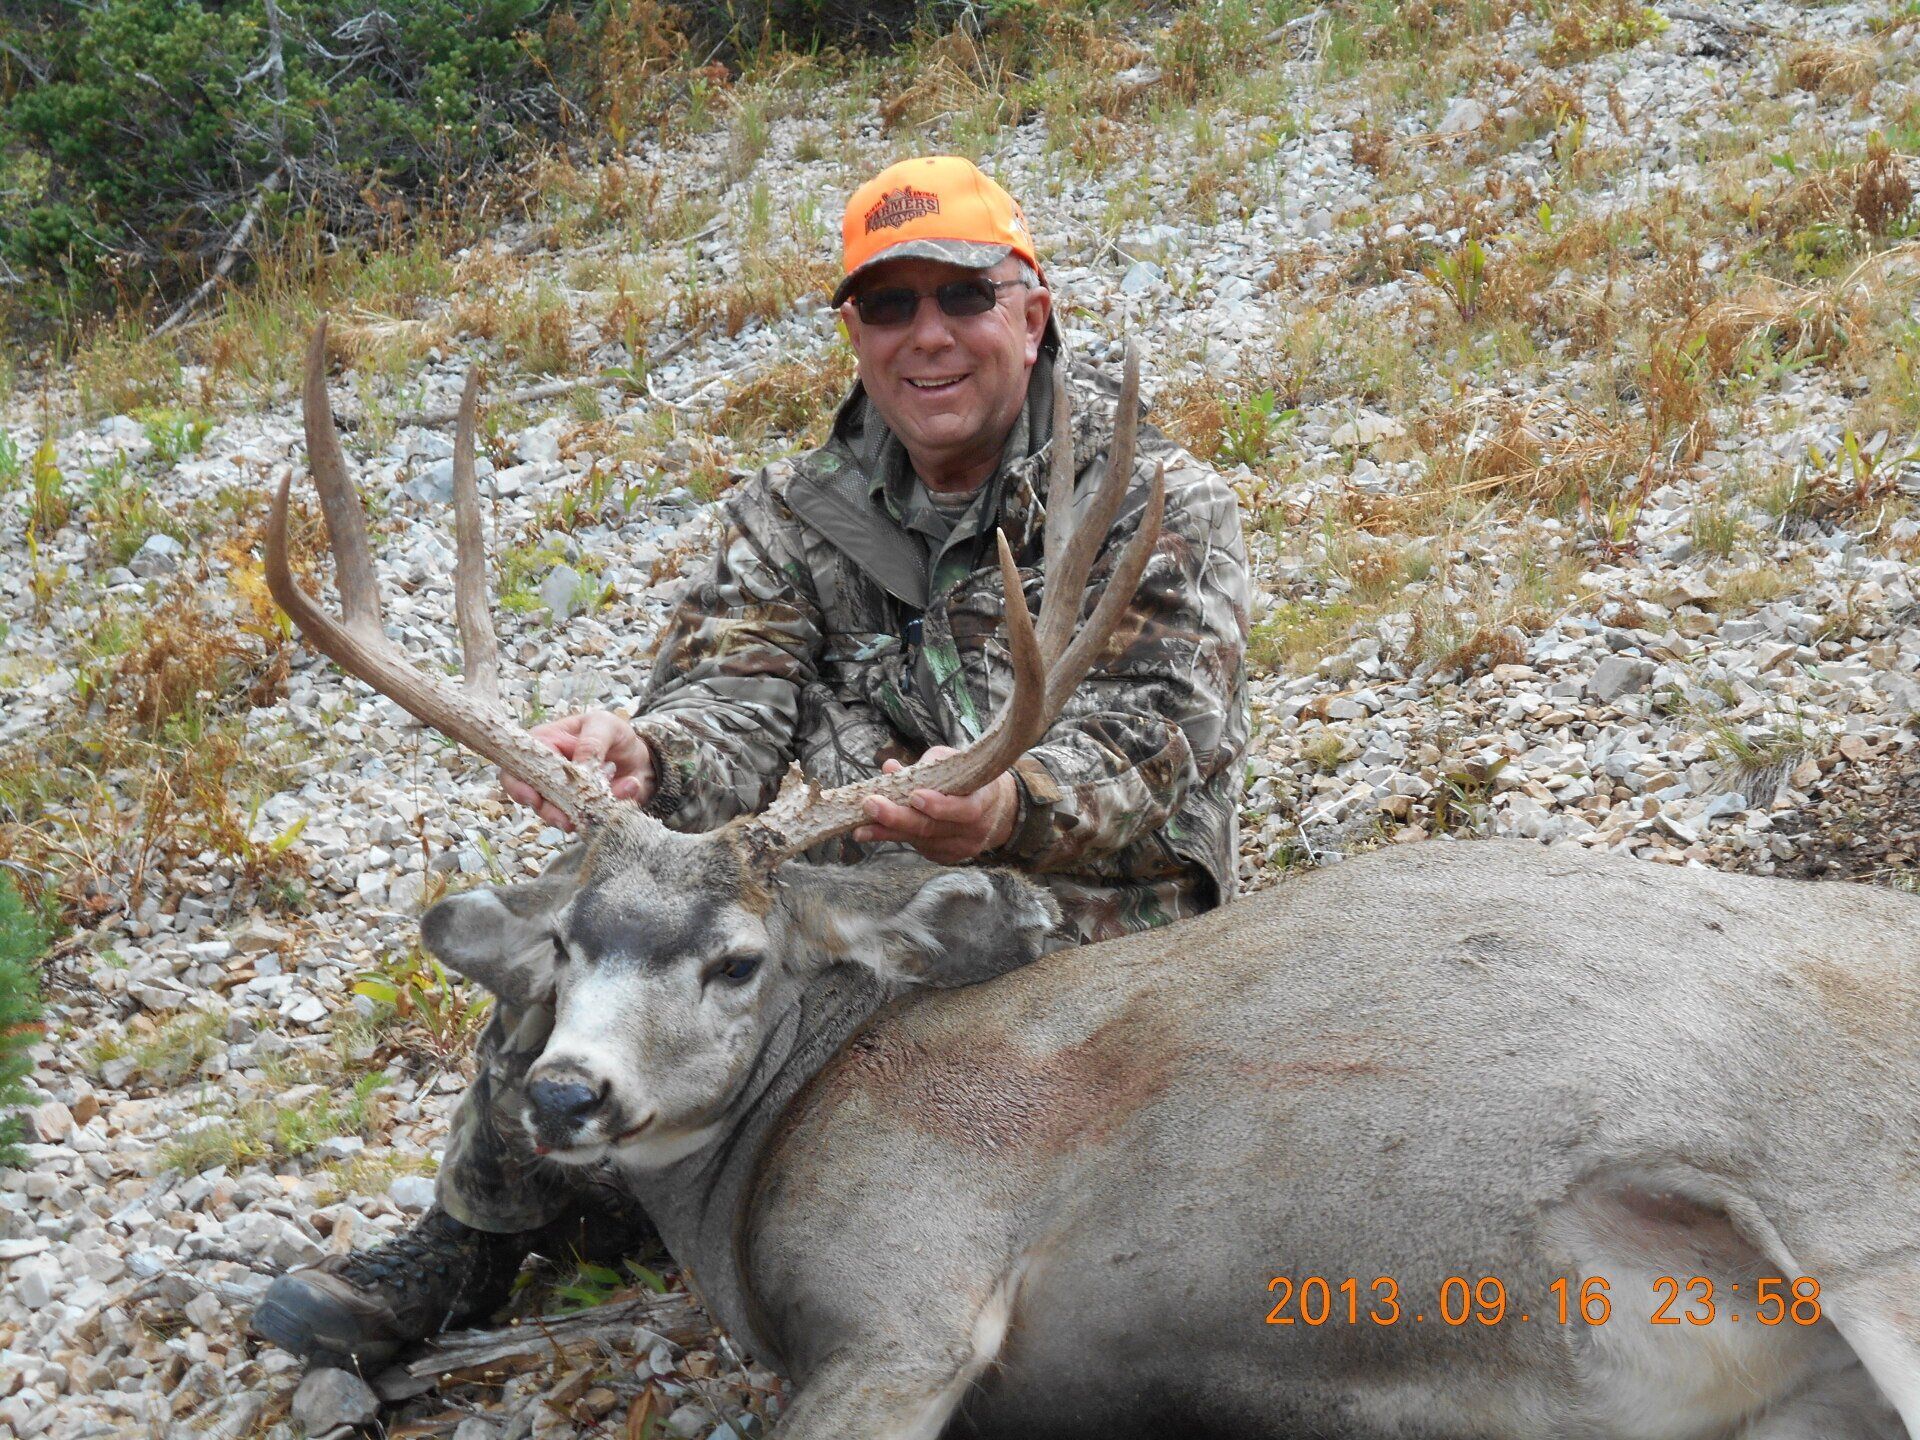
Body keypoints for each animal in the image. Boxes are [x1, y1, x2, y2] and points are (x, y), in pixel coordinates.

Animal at [265, 320, 1920, 1440]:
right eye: (563, 952)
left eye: (738, 958)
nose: (564, 1094)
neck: (801, 1113)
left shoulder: (908, 1288)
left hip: (1861, 1224)